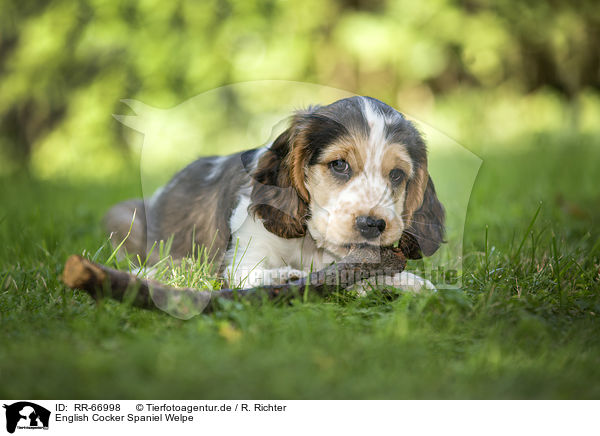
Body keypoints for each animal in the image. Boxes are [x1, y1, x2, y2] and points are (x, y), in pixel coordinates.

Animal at [104, 97, 446, 292]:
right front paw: (284, 277)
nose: (372, 225)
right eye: (339, 165)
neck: (310, 242)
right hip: (122, 216)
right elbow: (255, 274)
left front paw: (413, 283)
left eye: (397, 174)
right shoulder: (245, 255)